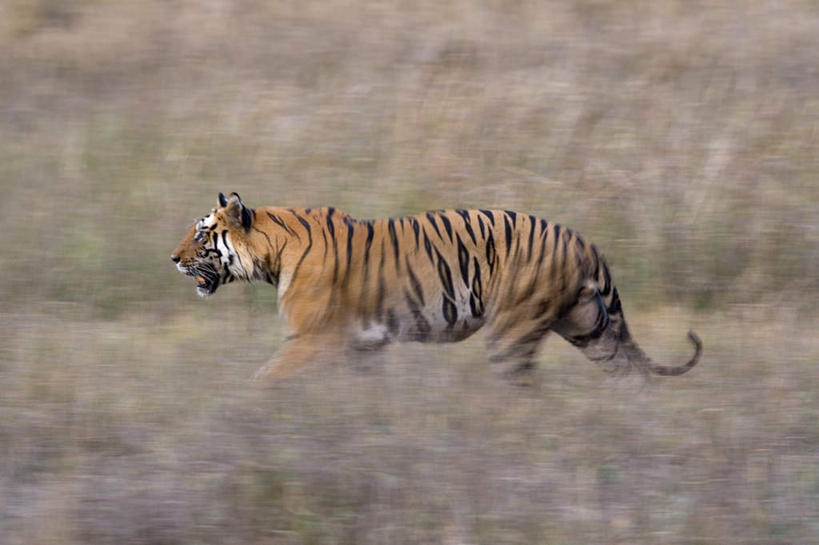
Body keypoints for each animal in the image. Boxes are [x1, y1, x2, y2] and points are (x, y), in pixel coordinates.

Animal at [171, 192, 700, 382]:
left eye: (201, 234)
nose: (172, 259)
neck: (273, 252)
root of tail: (580, 238)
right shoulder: (361, 346)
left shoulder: (311, 340)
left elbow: (265, 379)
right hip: (589, 325)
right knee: (630, 374)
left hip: (511, 330)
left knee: (522, 392)